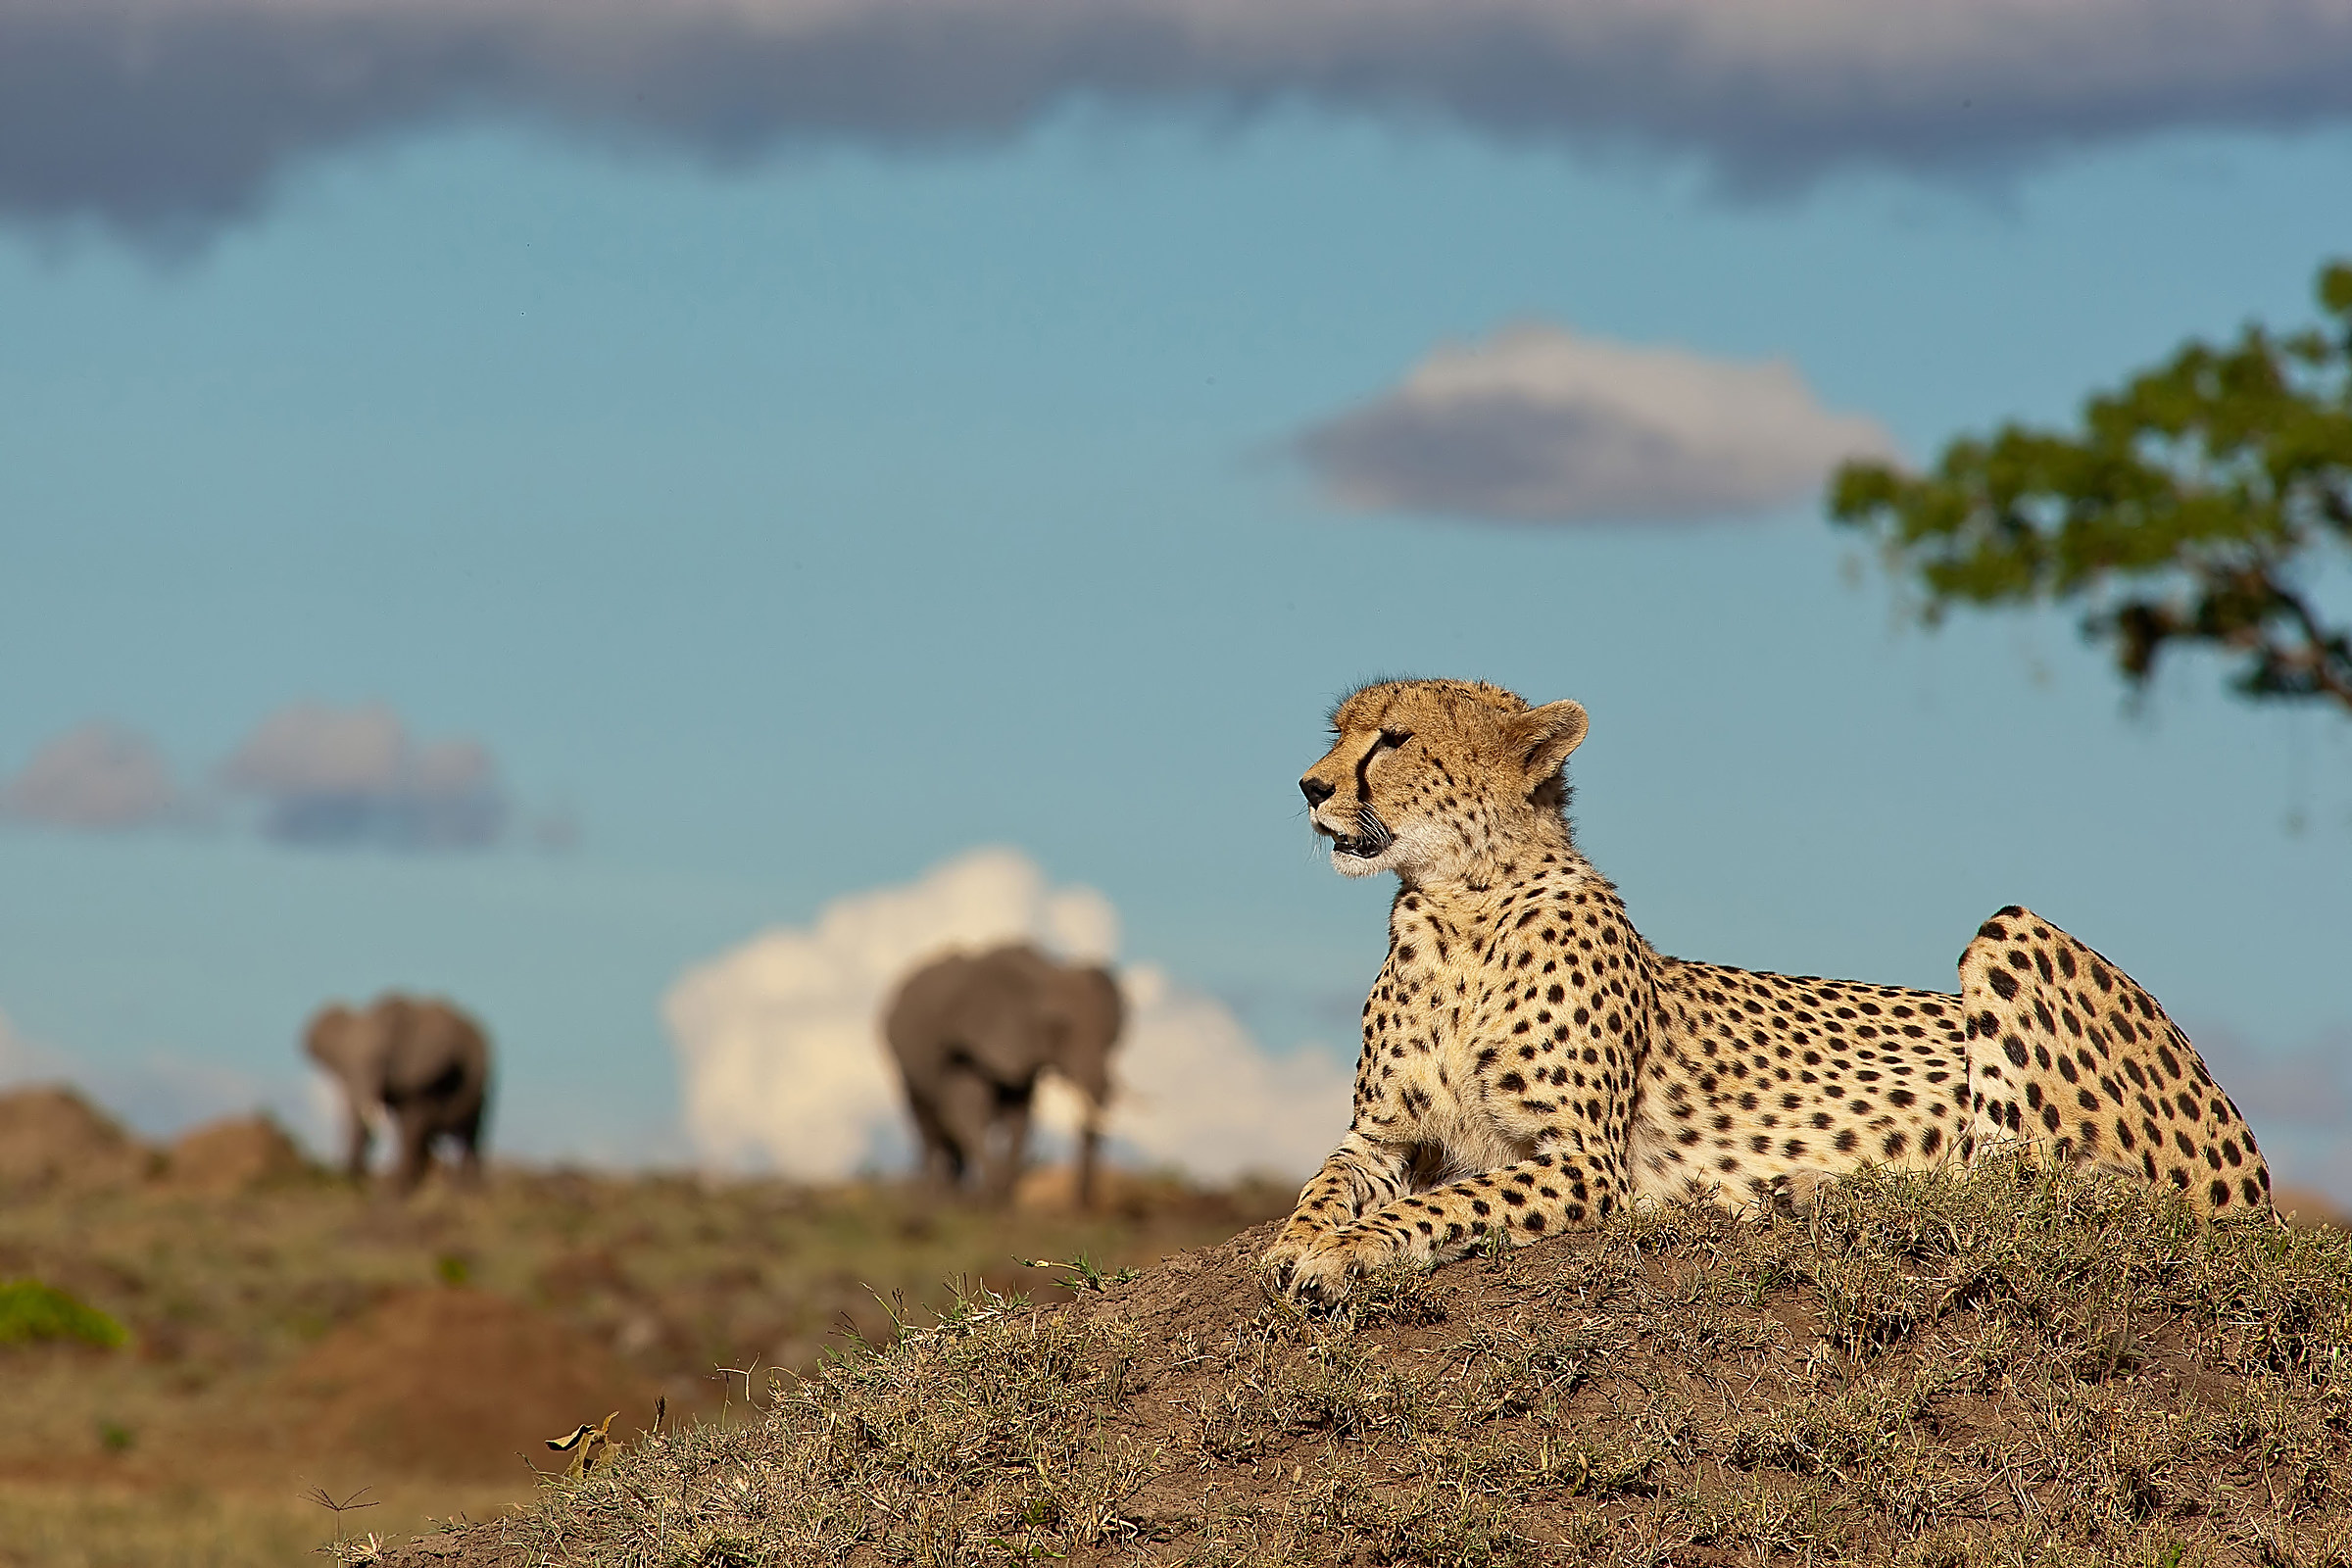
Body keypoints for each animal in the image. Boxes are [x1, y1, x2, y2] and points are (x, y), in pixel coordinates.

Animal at [1262, 678, 2274, 1302]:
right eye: (1339, 733)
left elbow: (1440, 1204)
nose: (1308, 786)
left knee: (2034, 1193)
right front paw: (1295, 1241)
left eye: (1393, 739)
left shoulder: (1584, 1160)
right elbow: (1328, 1183)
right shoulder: (1384, 1135)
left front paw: (1344, 1249)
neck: (1460, 904)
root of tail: (2258, 1186)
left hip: (2016, 932)